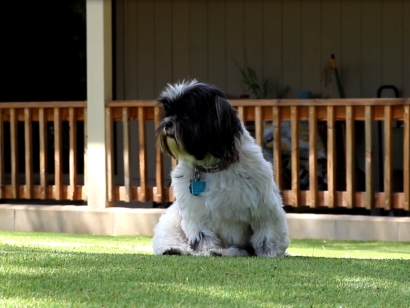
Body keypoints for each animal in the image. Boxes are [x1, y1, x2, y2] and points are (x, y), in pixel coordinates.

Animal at [152, 80, 290, 258]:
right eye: (168, 113)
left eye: (186, 114)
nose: (168, 122)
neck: (215, 167)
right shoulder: (196, 214)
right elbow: (203, 236)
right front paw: (207, 251)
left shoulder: (263, 207)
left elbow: (268, 233)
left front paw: (270, 253)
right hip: (173, 217)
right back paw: (175, 248)